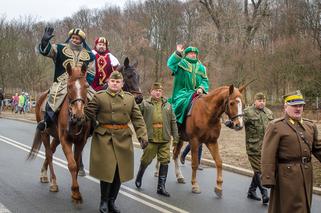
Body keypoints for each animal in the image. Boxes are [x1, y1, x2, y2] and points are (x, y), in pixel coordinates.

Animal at [27, 63, 90, 203]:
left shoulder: (80, 141)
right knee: (49, 154)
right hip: (45, 134)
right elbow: (72, 165)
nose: (78, 115)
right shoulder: (65, 140)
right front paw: (76, 192)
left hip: (56, 137)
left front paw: (75, 191)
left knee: (51, 150)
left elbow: (76, 163)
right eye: (69, 86)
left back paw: (44, 175)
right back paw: (53, 183)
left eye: (86, 86)